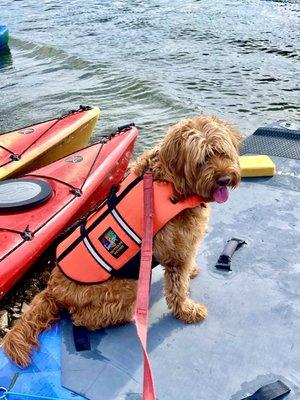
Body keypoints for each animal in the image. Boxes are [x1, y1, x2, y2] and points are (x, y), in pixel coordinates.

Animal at [1, 115, 241, 366]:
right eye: (202, 160)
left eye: (222, 152)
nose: (225, 179)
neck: (170, 180)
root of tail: (52, 290)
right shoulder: (177, 252)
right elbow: (177, 290)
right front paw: (187, 310)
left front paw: (192, 272)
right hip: (126, 287)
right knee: (81, 318)